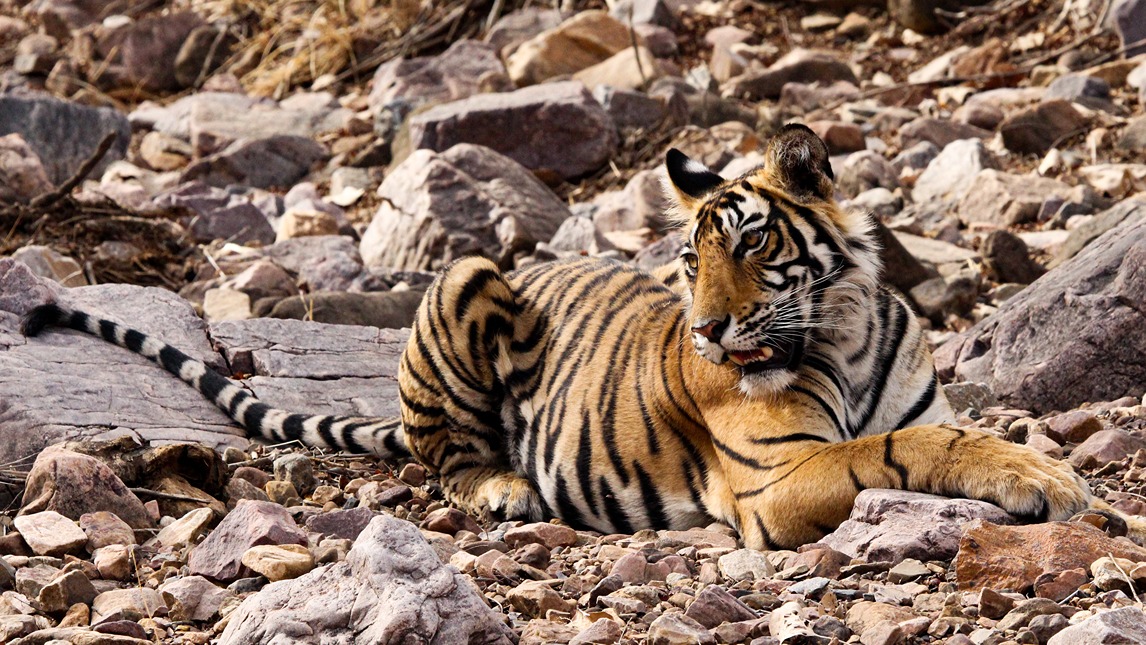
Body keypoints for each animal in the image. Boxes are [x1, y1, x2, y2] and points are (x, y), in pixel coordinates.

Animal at [21, 124, 1122, 550]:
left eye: (752, 244)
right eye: (689, 260)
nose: (712, 329)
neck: (840, 331)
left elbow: (945, 426)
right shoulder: (776, 477)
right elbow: (904, 444)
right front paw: (1046, 482)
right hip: (465, 277)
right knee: (443, 456)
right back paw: (505, 486)